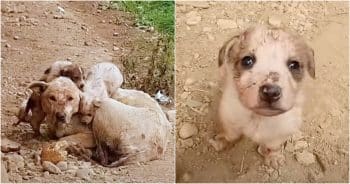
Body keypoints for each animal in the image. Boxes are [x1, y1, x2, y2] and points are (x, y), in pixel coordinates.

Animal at [209, 24, 316, 168]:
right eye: (247, 60)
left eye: (294, 65)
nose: (270, 92)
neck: (259, 118)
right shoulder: (229, 117)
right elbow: (231, 134)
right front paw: (222, 141)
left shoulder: (281, 132)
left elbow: (273, 146)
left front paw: (273, 157)